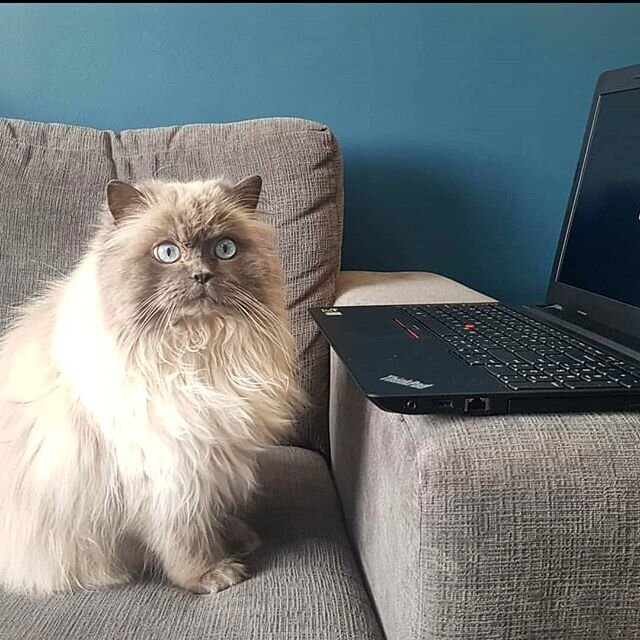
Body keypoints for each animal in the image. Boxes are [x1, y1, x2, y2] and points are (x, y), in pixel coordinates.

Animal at [0, 175, 304, 596]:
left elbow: (216, 513)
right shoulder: (170, 470)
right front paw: (212, 575)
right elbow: (186, 537)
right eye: (167, 252)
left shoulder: (212, 456)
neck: (198, 351)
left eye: (224, 249)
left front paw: (240, 538)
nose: (201, 276)